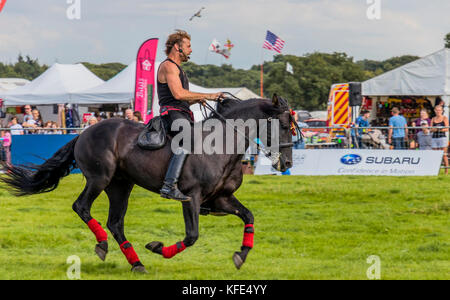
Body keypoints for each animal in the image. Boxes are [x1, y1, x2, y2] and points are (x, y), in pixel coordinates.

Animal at [0, 95, 294, 274]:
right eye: (283, 125)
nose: (287, 163)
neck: (221, 145)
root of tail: (85, 132)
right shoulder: (192, 197)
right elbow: (191, 236)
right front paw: (158, 248)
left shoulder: (221, 199)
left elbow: (249, 216)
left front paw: (241, 254)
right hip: (99, 178)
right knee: (82, 207)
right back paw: (103, 245)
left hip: (120, 186)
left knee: (115, 223)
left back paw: (136, 263)